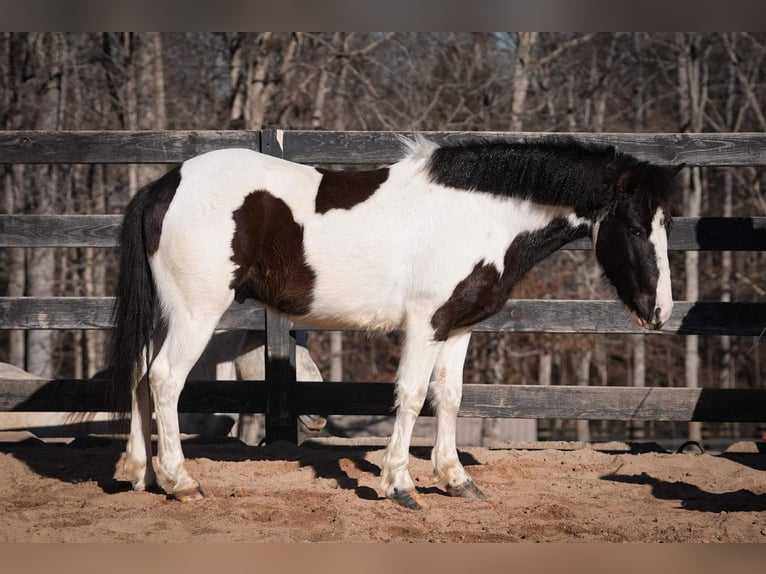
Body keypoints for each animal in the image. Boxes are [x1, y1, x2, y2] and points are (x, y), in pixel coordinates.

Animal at [109, 135, 679, 510]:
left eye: (665, 222)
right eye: (633, 226)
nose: (661, 312)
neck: (477, 214)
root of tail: (166, 184)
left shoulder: (457, 326)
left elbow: (449, 396)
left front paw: (455, 480)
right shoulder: (426, 323)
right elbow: (411, 394)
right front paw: (400, 485)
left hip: (164, 315)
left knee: (139, 376)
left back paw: (137, 473)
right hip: (195, 314)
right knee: (165, 380)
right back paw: (180, 481)